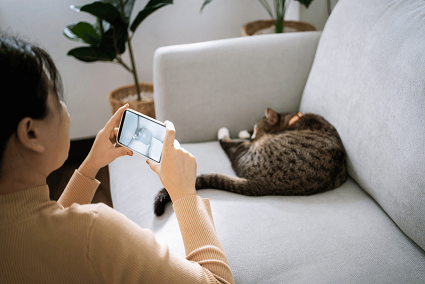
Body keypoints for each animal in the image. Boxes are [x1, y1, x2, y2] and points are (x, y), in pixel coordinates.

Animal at [154, 108, 346, 215]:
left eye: (257, 129)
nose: (253, 135)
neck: (294, 120)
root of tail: (264, 185)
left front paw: (244, 133)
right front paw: (245, 132)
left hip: (251, 153)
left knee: (232, 151)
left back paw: (223, 131)